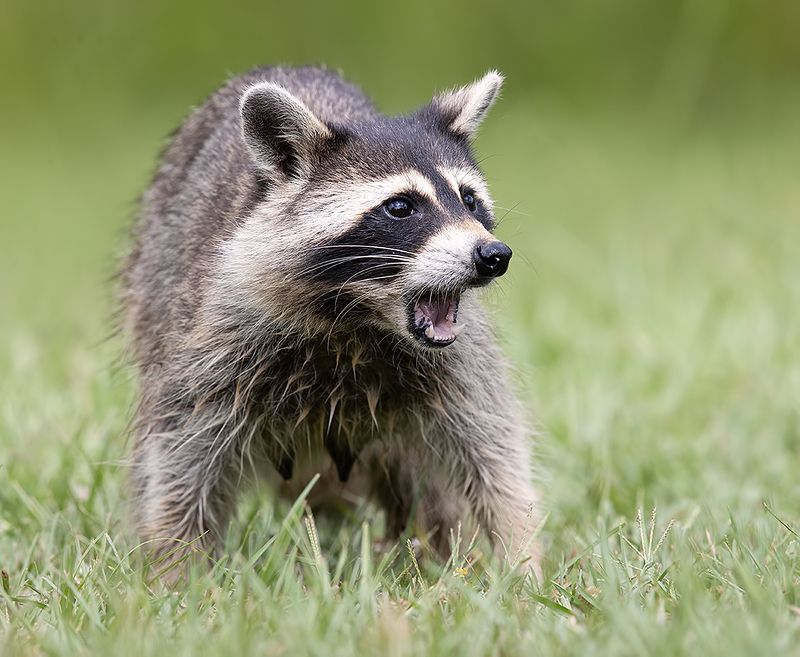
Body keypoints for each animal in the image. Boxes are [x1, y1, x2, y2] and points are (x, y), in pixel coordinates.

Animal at [122, 66, 542, 578]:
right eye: (400, 206)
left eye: (469, 200)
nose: (493, 256)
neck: (356, 317)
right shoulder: (213, 335)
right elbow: (182, 451)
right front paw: (177, 572)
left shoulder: (458, 363)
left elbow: (493, 449)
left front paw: (523, 563)